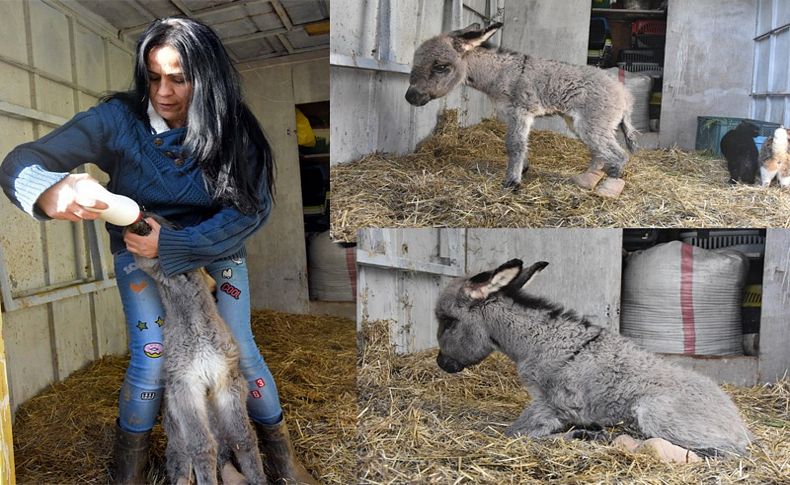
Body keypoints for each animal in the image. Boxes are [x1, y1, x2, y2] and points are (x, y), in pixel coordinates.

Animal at [125, 216, 268, 484]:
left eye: (175, 227)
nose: (141, 216)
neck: (197, 330)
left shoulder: (226, 380)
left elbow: (243, 439)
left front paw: (257, 480)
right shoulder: (186, 386)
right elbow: (202, 448)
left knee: (223, 449)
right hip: (176, 431)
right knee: (181, 461)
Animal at [408, 22, 636, 197]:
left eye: (440, 67)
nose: (409, 97)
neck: (500, 74)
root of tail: (624, 93)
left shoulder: (519, 113)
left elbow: (514, 145)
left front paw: (512, 182)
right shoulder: (512, 116)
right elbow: (521, 143)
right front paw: (522, 169)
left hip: (592, 124)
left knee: (619, 155)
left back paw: (609, 188)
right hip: (582, 123)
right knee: (600, 152)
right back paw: (587, 179)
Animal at [440, 260, 756, 456]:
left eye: (448, 321)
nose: (441, 364)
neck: (537, 342)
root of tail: (740, 426)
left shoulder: (551, 404)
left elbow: (516, 433)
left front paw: (579, 434)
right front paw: (586, 432)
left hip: (655, 411)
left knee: (718, 452)